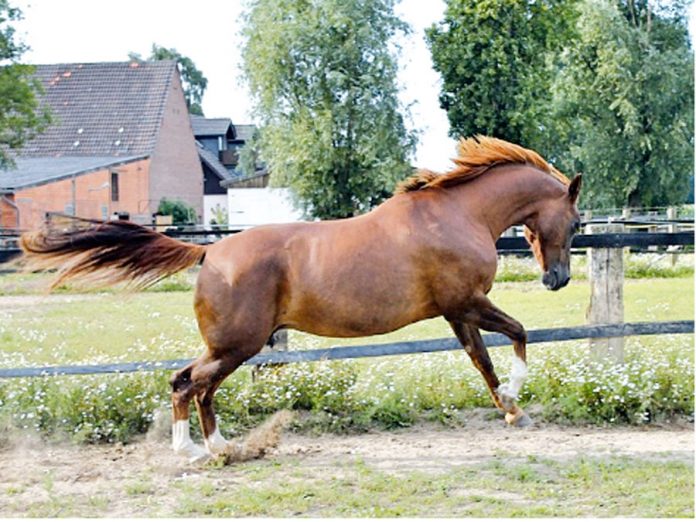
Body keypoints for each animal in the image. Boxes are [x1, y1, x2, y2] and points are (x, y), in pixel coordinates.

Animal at [20, 136, 582, 463]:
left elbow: (481, 361)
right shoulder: (467, 302)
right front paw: (517, 400)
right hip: (237, 344)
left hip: (232, 346)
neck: (457, 214)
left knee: (195, 385)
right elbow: (517, 336)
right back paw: (194, 452)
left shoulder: (455, 311)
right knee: (188, 384)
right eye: (576, 222)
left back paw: (223, 447)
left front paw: (510, 409)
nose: (557, 279)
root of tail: (209, 252)